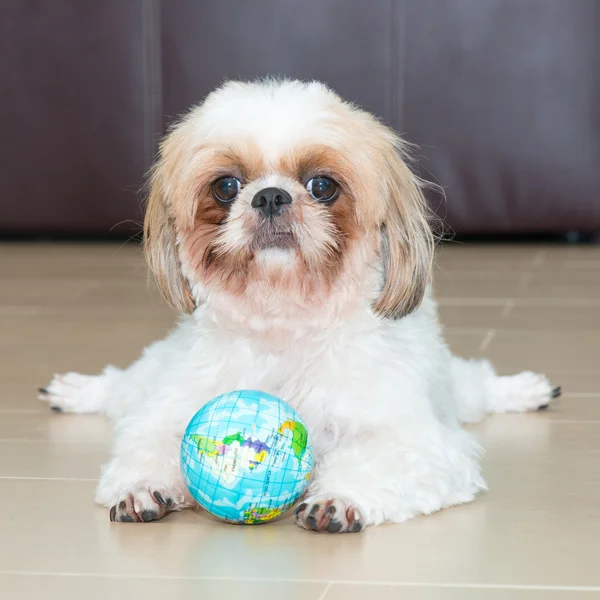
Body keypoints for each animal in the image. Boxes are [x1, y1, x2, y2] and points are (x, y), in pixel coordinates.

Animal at [39, 77, 560, 532]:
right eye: (226, 187)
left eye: (322, 186)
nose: (270, 196)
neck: (284, 324)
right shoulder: (170, 412)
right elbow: (147, 446)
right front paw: (144, 487)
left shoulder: (420, 442)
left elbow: (378, 462)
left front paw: (338, 499)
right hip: (158, 376)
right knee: (124, 387)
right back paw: (77, 391)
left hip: (450, 389)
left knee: (477, 383)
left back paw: (523, 389)